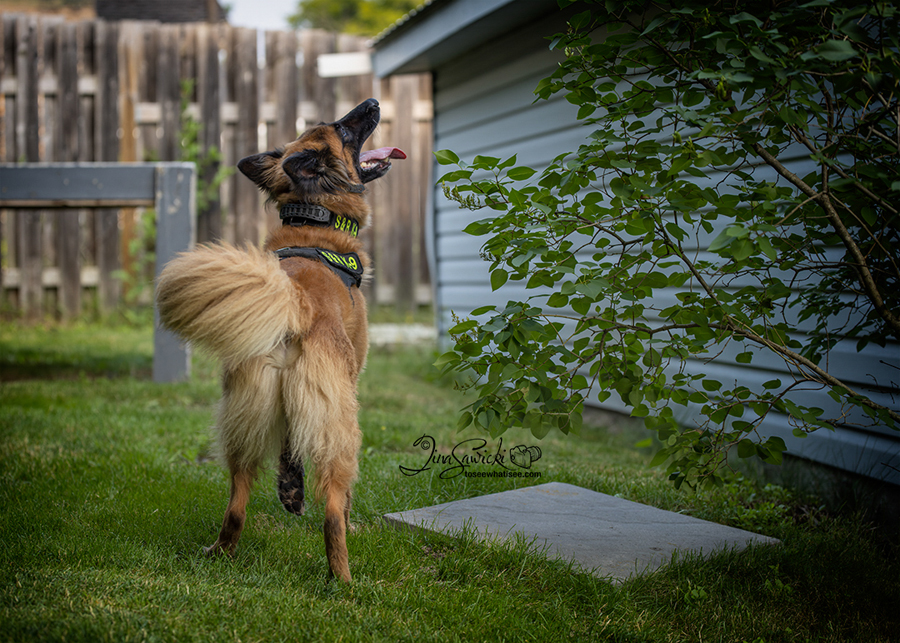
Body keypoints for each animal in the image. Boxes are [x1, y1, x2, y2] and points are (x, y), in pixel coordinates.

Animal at [155, 98, 405, 582]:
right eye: (342, 130)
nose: (371, 103)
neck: (313, 216)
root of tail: (296, 304)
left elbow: (289, 448)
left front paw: (290, 492)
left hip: (244, 424)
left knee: (237, 506)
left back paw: (222, 550)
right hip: (341, 429)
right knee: (332, 512)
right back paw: (344, 577)